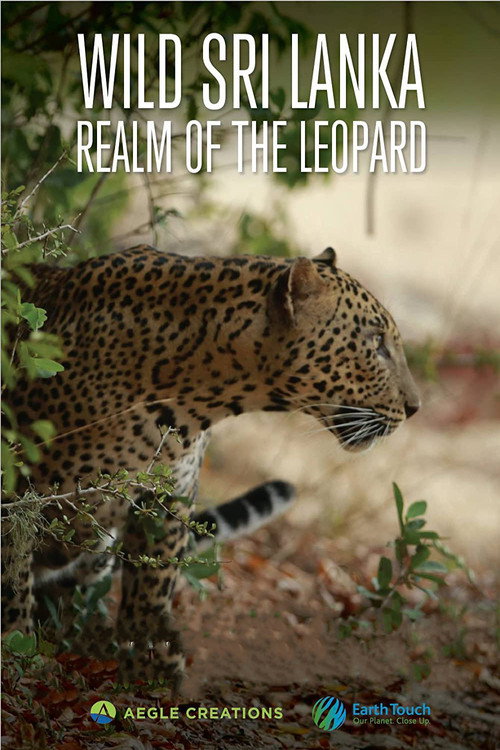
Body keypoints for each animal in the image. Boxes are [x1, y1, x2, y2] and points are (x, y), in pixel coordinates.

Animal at [2, 244, 419, 685]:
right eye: (376, 343)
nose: (415, 407)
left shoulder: (170, 493)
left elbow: (154, 582)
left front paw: (151, 660)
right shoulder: (16, 485)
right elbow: (11, 574)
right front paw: (16, 647)